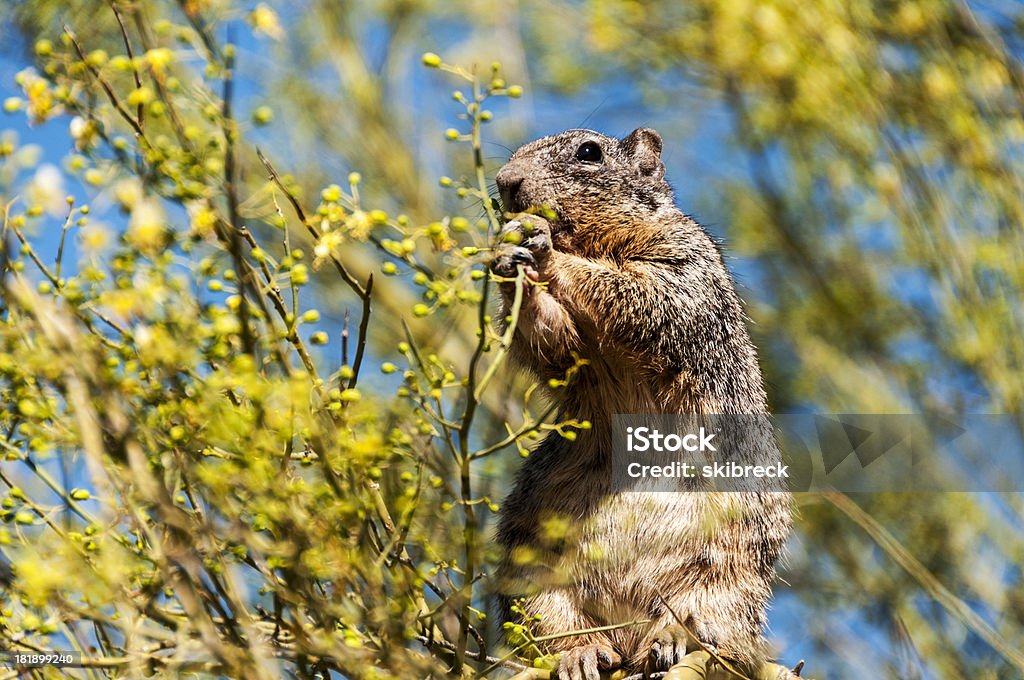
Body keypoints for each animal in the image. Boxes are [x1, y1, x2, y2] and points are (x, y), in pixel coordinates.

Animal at [487, 129, 790, 680]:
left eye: (589, 152)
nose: (505, 182)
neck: (591, 241)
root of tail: (627, 639)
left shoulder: (685, 265)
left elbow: (639, 291)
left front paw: (546, 253)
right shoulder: (573, 349)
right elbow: (550, 339)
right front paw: (509, 258)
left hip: (733, 572)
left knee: (713, 621)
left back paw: (672, 636)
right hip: (531, 565)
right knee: (552, 625)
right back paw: (581, 652)